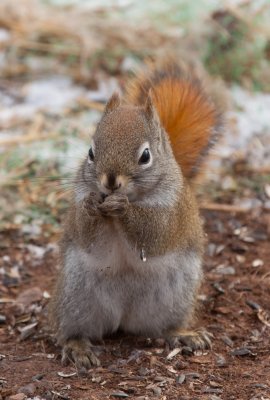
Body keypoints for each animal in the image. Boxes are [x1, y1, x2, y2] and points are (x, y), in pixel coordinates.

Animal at [49, 61, 221, 370]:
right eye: (91, 152)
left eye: (145, 156)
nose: (110, 182)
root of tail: (124, 317)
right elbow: (86, 235)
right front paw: (93, 205)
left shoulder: (170, 213)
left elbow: (151, 236)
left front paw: (122, 208)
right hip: (76, 297)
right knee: (73, 330)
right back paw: (78, 346)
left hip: (173, 298)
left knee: (164, 327)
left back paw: (184, 334)